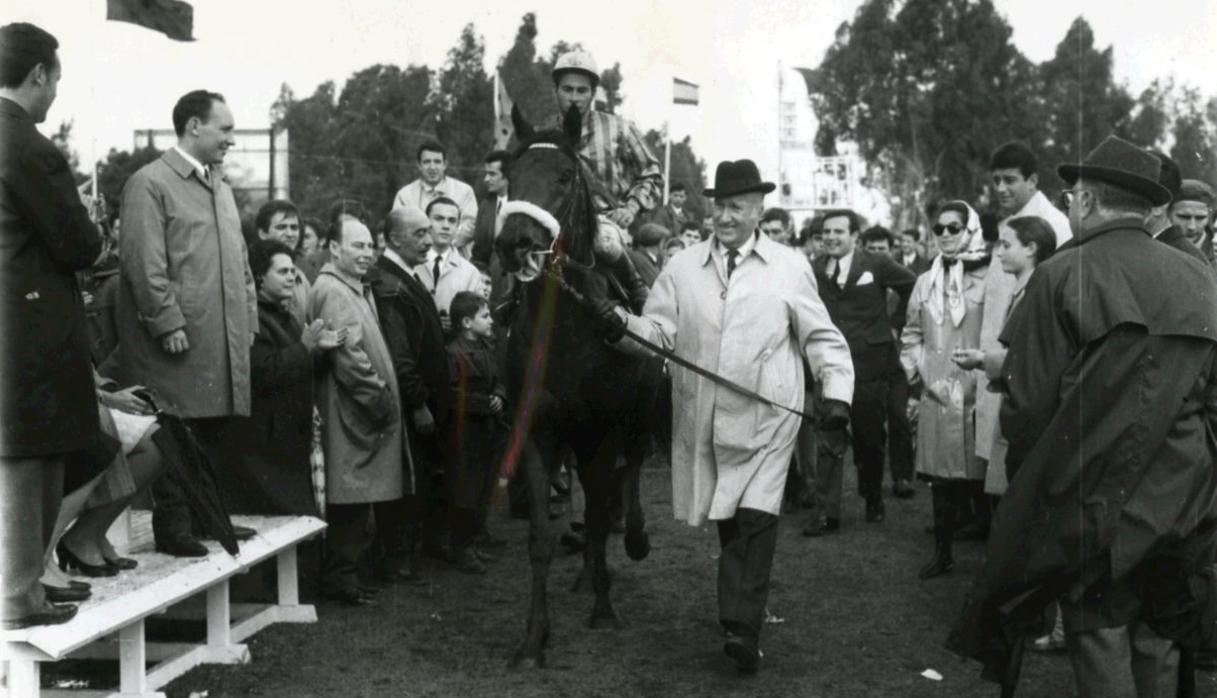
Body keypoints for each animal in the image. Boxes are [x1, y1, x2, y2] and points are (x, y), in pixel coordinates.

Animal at [494, 107, 662, 671]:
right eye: (510, 174)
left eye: (565, 176)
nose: (514, 242)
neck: (567, 327)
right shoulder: (539, 429)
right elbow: (542, 536)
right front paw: (532, 639)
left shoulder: (602, 429)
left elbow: (599, 512)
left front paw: (605, 610)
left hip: (640, 414)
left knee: (629, 471)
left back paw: (633, 539)